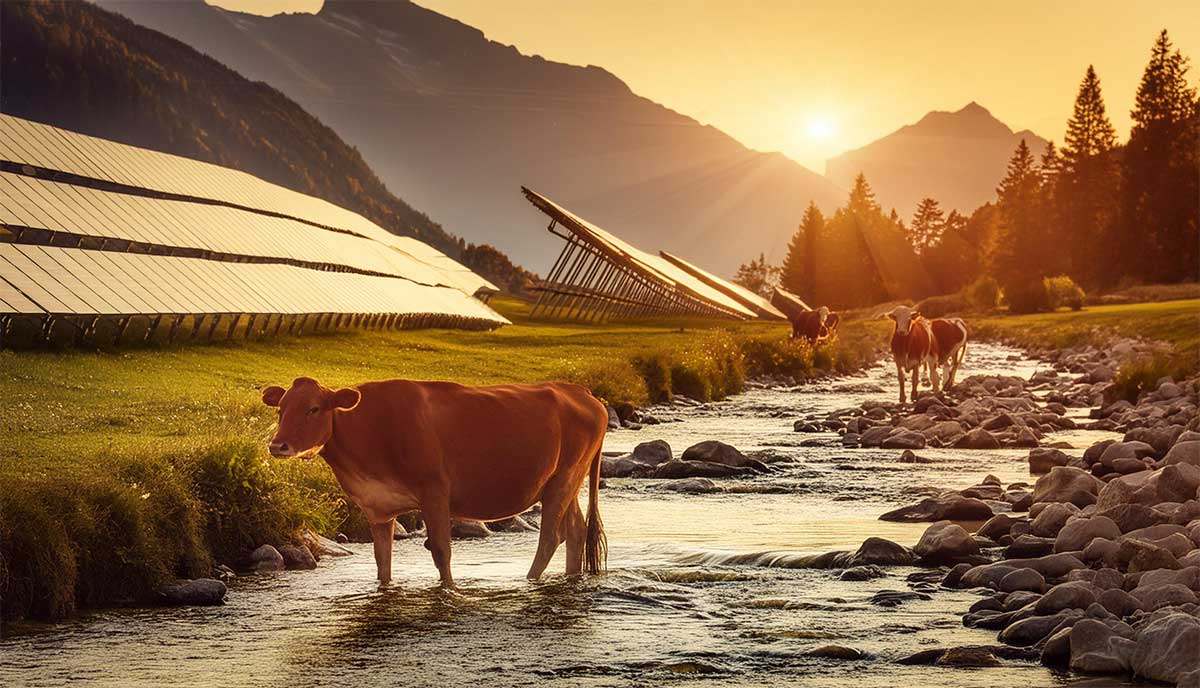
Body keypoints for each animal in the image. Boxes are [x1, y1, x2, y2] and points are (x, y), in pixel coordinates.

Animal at [258, 372, 604, 588]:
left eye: (313, 408)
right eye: (281, 409)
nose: (277, 445)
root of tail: (581, 391)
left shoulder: (435, 491)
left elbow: (441, 550)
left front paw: (449, 591)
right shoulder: (377, 506)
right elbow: (382, 560)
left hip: (564, 478)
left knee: (550, 537)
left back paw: (529, 581)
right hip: (562, 481)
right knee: (575, 530)